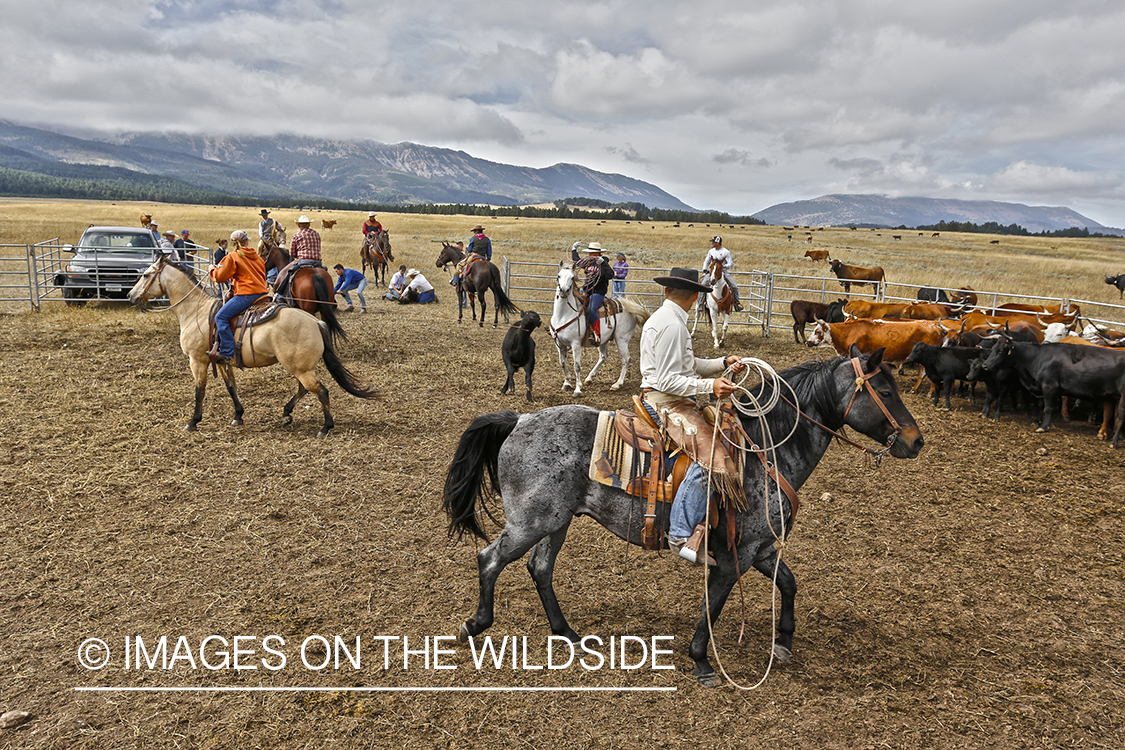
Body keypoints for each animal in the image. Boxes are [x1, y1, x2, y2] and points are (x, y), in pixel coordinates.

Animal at [126, 255, 375, 436]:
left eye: (146, 274)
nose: (130, 295)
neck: (195, 310)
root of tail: (315, 322)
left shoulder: (197, 360)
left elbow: (199, 391)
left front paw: (193, 421)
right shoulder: (221, 361)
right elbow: (231, 388)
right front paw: (238, 415)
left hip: (300, 368)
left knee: (321, 391)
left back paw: (325, 427)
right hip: (300, 367)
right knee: (305, 389)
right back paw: (287, 413)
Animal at [443, 346, 927, 688]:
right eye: (885, 392)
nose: (916, 441)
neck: (765, 450)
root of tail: (520, 420)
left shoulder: (762, 547)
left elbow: (789, 583)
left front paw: (784, 641)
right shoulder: (736, 554)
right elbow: (714, 603)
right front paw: (701, 660)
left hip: (557, 521)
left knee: (540, 568)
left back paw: (568, 633)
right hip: (530, 523)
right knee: (490, 559)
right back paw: (476, 624)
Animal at [546, 260, 648, 395]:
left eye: (572, 277)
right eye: (559, 276)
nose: (564, 290)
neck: (564, 315)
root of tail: (627, 308)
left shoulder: (576, 344)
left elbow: (577, 366)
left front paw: (577, 389)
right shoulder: (559, 344)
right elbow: (562, 363)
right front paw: (567, 383)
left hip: (622, 340)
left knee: (626, 359)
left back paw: (617, 384)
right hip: (603, 340)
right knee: (603, 356)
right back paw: (589, 378)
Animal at [976, 339, 1125, 445]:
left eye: (1000, 351)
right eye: (993, 349)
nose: (985, 365)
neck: (1038, 357)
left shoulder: (1049, 387)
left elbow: (1048, 408)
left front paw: (1043, 426)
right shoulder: (1041, 389)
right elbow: (1039, 406)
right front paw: (1037, 420)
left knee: (1120, 418)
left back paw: (1114, 442)